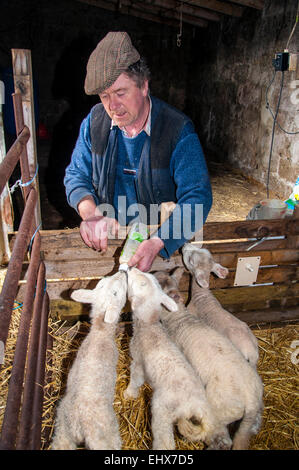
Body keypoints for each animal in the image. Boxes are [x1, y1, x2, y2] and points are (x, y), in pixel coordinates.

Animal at [51, 272, 126, 452]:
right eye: (115, 293)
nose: (123, 272)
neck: (100, 331)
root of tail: (80, 425)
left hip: (62, 431)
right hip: (106, 435)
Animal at [123, 266, 230, 450]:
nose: (133, 268)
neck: (148, 325)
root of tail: (194, 405)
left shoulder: (137, 361)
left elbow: (135, 380)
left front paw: (129, 394)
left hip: (162, 410)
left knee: (164, 440)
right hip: (212, 418)